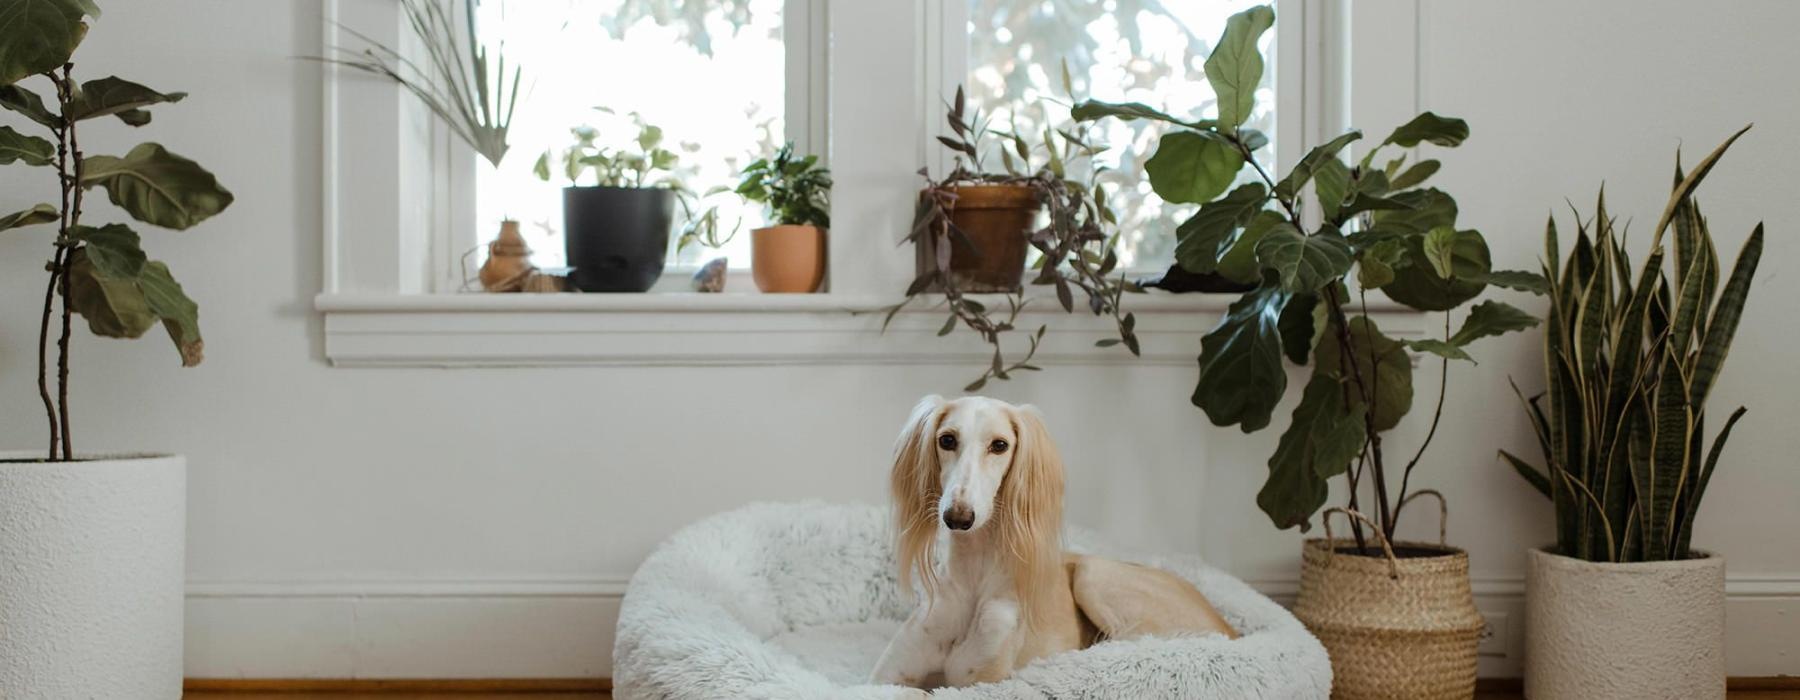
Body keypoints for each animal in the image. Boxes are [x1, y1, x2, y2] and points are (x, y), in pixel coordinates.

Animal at [864, 395, 1231, 691]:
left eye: (1000, 445)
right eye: (947, 439)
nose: (958, 517)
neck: (974, 579)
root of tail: (1229, 627)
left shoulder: (980, 683)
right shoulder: (885, 680)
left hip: (1094, 576)